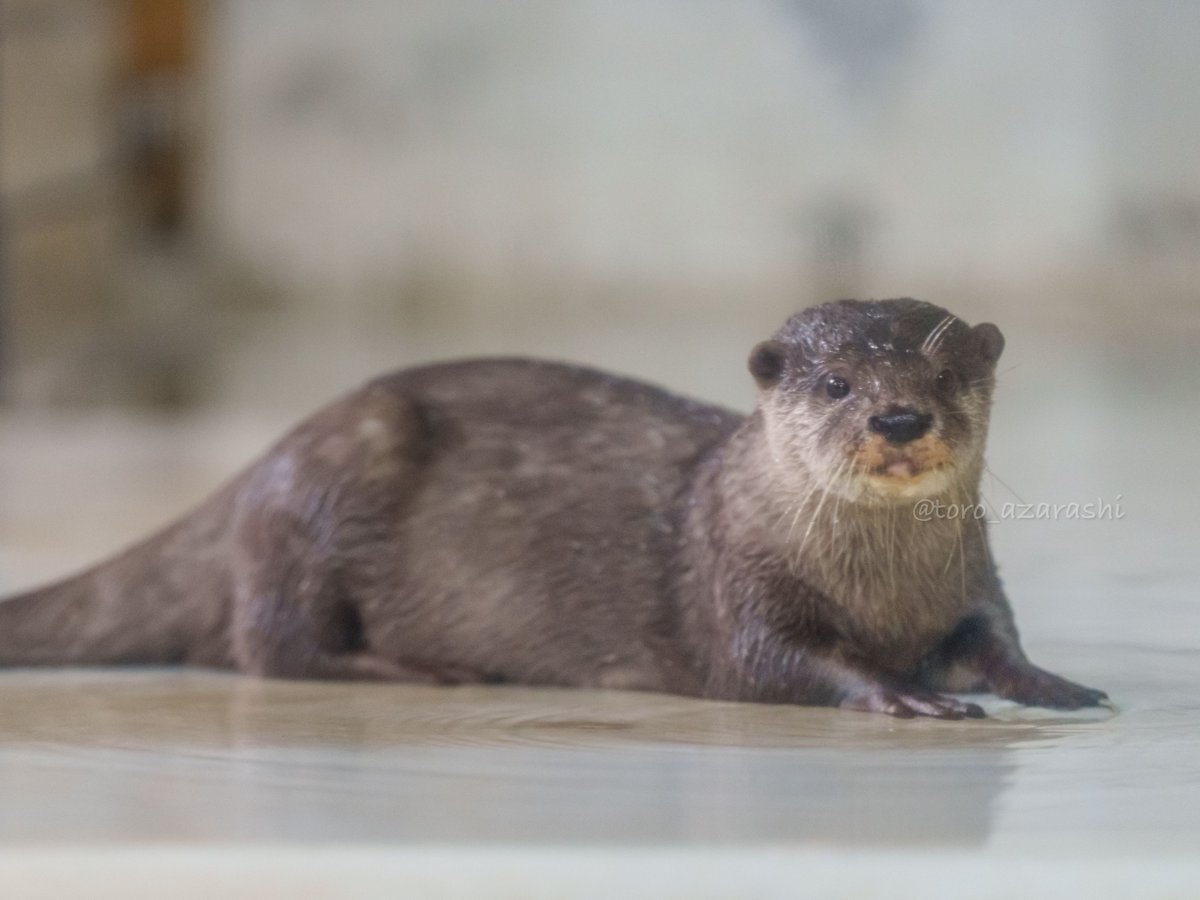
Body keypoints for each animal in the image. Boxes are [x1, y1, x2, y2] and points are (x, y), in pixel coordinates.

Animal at [0, 299, 1107, 718]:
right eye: (836, 385)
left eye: (950, 373)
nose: (900, 416)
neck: (882, 593)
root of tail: (253, 469)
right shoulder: (735, 587)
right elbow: (777, 663)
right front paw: (903, 693)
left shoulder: (975, 585)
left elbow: (995, 641)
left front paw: (1053, 684)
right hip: (330, 480)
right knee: (269, 645)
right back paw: (430, 669)